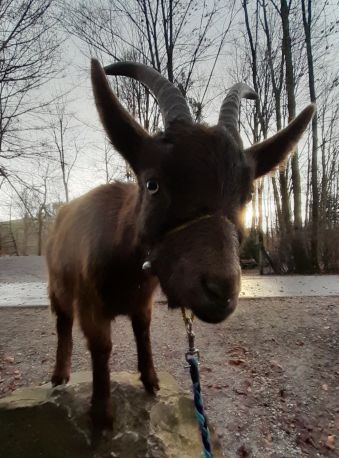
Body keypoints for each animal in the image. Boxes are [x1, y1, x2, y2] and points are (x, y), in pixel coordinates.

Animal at [47, 59, 316, 432]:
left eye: (247, 196)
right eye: (153, 184)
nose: (221, 290)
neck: (126, 269)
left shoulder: (143, 302)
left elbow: (143, 335)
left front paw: (151, 381)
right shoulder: (92, 306)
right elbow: (102, 348)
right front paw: (102, 416)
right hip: (57, 286)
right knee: (62, 323)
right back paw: (59, 376)